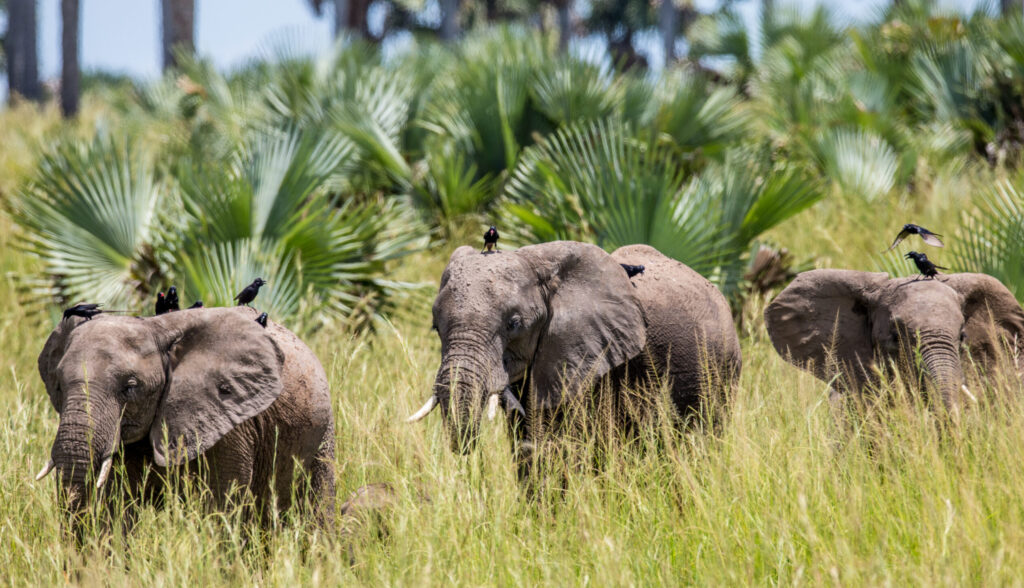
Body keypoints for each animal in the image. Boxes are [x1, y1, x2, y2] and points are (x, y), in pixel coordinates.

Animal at [35, 306, 335, 532]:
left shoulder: (228, 423)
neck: (156, 329)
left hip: (322, 433)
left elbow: (221, 506)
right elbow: (113, 509)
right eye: (58, 385)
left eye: (130, 387)